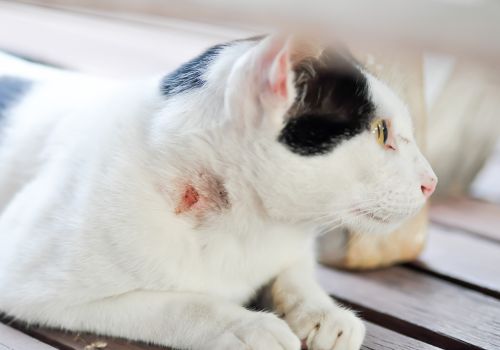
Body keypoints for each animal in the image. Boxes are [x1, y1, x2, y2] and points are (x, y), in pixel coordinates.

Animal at [0, 36, 438, 350]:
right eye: (381, 132)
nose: (431, 182)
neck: (250, 225)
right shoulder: (22, 280)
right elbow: (178, 303)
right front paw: (247, 326)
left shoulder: (290, 245)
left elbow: (295, 272)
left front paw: (324, 314)